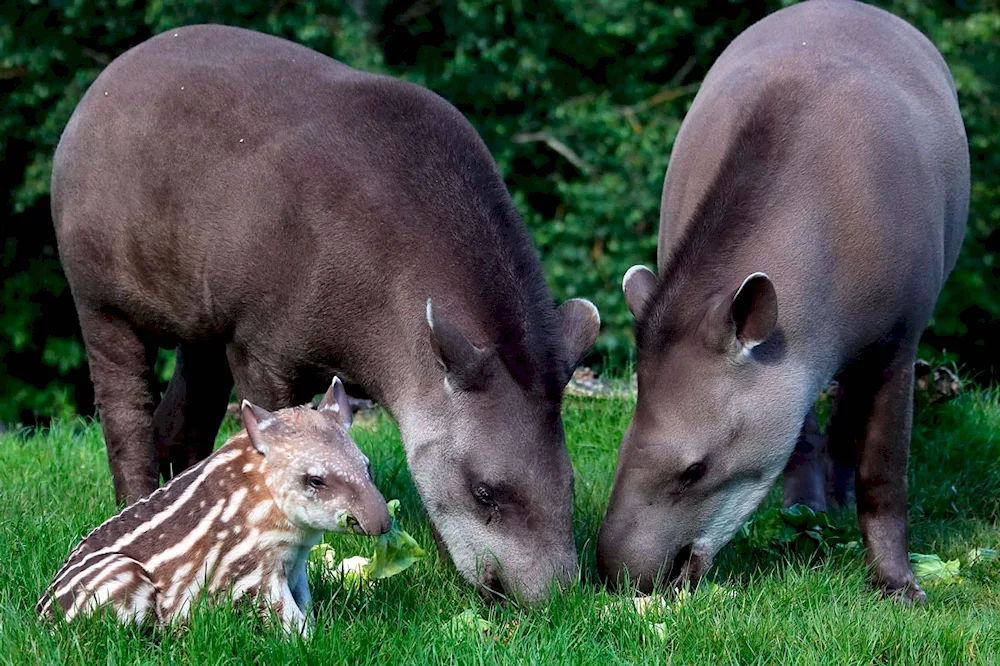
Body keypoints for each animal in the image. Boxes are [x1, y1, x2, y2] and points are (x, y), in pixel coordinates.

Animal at [36, 376, 386, 632]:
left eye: (367, 466)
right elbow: (288, 617)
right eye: (315, 480)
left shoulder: (295, 564)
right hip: (119, 578)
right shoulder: (251, 570)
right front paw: (310, 641)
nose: (382, 523)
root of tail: (42, 619)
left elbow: (305, 603)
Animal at [54, 23, 596, 600]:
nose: (551, 600)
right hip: (98, 289)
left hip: (201, 307)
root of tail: (99, 87)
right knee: (123, 399)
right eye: (485, 492)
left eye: (570, 483)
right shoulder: (259, 343)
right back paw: (133, 504)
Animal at [596, 0, 964, 600]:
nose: (621, 576)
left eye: (695, 470)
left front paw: (899, 585)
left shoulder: (900, 334)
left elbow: (885, 470)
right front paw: (804, 516)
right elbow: (793, 427)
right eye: (624, 444)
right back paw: (809, 508)